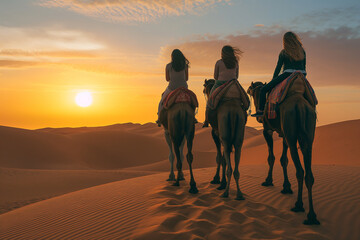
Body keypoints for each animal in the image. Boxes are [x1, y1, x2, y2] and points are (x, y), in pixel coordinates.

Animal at [248, 71, 320, 225]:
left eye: (251, 89)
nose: (247, 90)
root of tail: (301, 106)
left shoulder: (267, 130)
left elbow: (271, 157)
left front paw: (268, 181)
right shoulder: (284, 134)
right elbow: (284, 159)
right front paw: (286, 187)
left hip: (291, 130)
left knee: (300, 170)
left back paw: (298, 205)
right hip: (308, 134)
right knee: (308, 172)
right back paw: (312, 216)